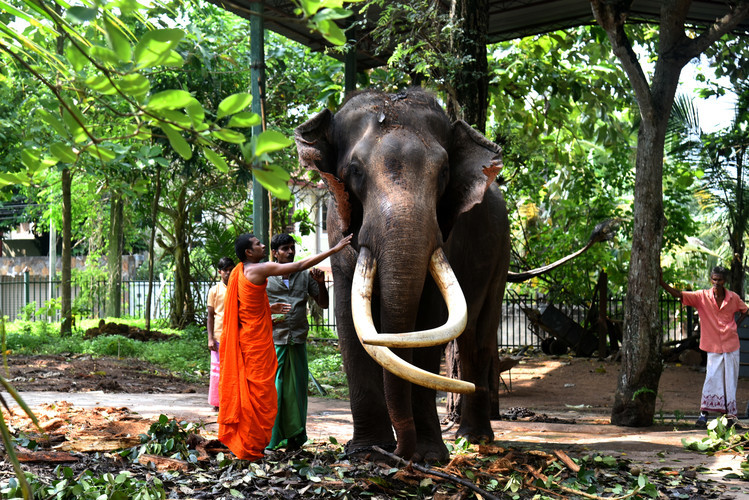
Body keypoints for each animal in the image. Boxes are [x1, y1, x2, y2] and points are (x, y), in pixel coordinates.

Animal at [292, 87, 608, 460]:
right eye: (354, 170)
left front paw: (429, 455)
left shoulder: (448, 234)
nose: (401, 454)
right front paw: (367, 452)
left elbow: (428, 321)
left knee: (478, 337)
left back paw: (475, 436)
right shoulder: (336, 222)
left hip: (501, 250)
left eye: (443, 172)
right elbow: (349, 324)